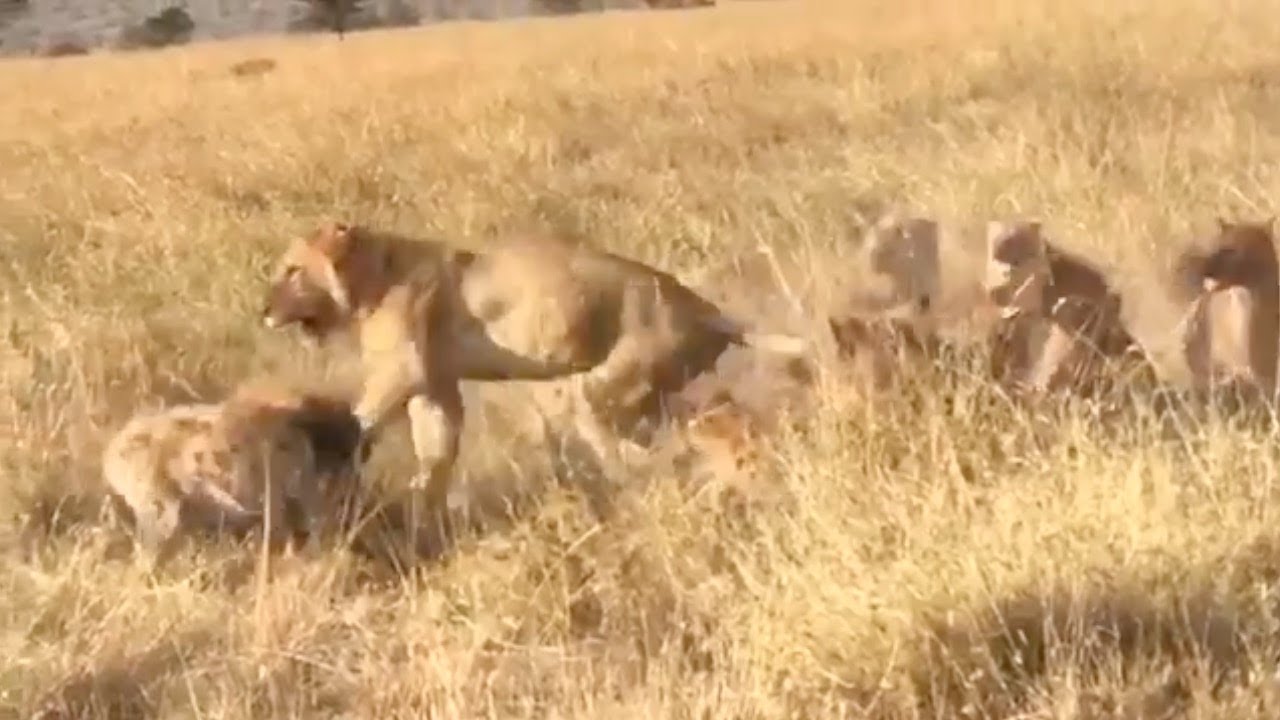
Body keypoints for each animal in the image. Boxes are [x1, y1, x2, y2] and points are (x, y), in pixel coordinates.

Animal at [259, 221, 808, 524]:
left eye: (292, 270)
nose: (262, 309)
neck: (368, 277)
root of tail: (702, 307)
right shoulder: (436, 389)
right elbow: (435, 457)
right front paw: (423, 519)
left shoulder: (404, 369)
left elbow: (361, 416)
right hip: (647, 397)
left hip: (598, 392)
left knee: (636, 459)